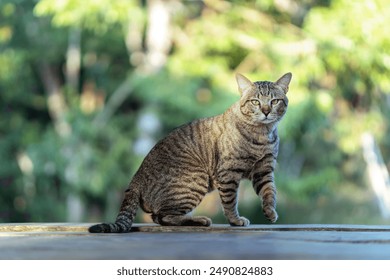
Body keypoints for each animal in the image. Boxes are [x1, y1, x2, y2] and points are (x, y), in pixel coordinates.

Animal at [89, 71, 292, 233]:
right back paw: (199, 220)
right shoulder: (228, 173)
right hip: (195, 181)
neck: (262, 135)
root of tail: (135, 180)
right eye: (255, 102)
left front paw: (270, 212)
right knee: (164, 216)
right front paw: (235, 220)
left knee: (159, 217)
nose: (266, 111)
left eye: (274, 101)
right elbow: (230, 201)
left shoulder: (263, 170)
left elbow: (270, 192)